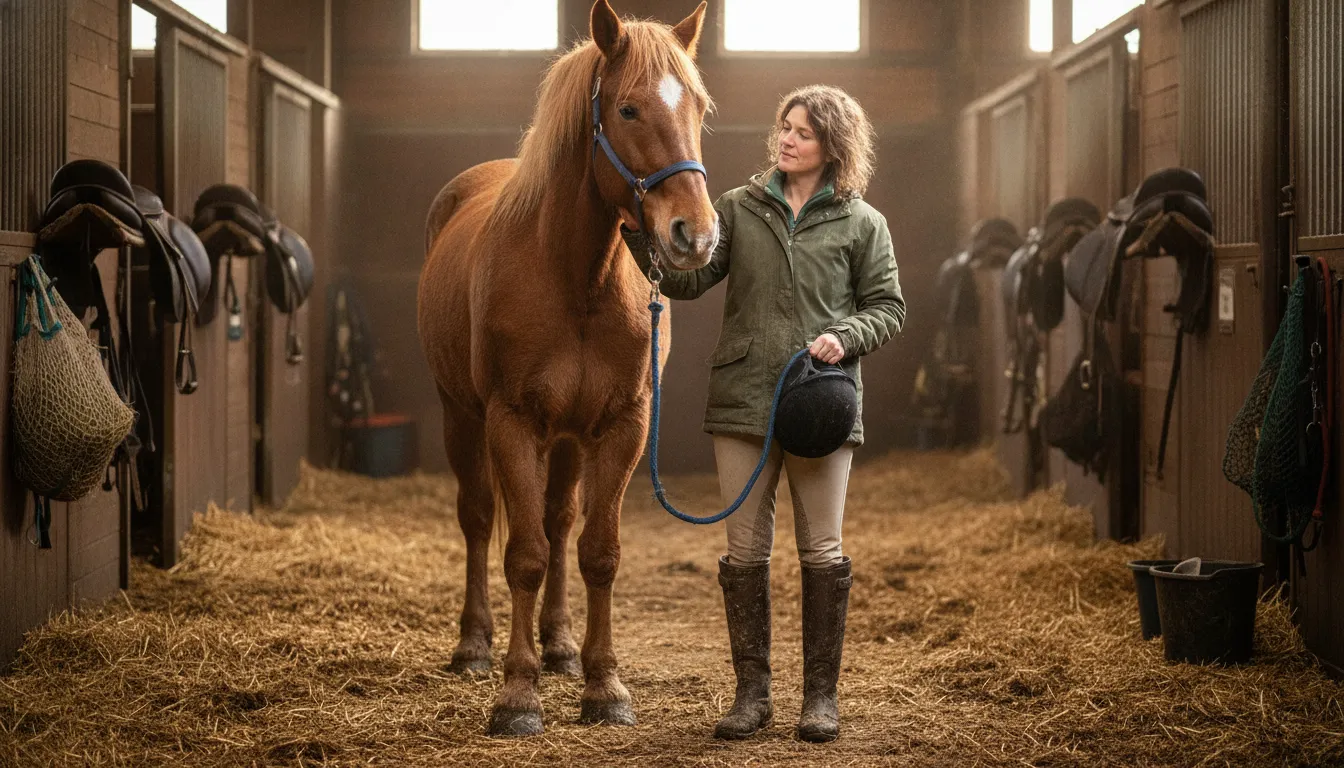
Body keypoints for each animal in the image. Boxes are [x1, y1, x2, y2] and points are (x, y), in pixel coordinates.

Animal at [416, 0, 718, 738]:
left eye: (698, 106)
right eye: (629, 109)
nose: (694, 235)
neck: (575, 276)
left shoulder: (621, 425)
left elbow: (595, 552)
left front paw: (603, 685)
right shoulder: (511, 421)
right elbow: (520, 554)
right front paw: (516, 695)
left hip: (569, 440)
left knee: (558, 524)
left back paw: (558, 647)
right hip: (460, 415)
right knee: (478, 518)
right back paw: (474, 645)